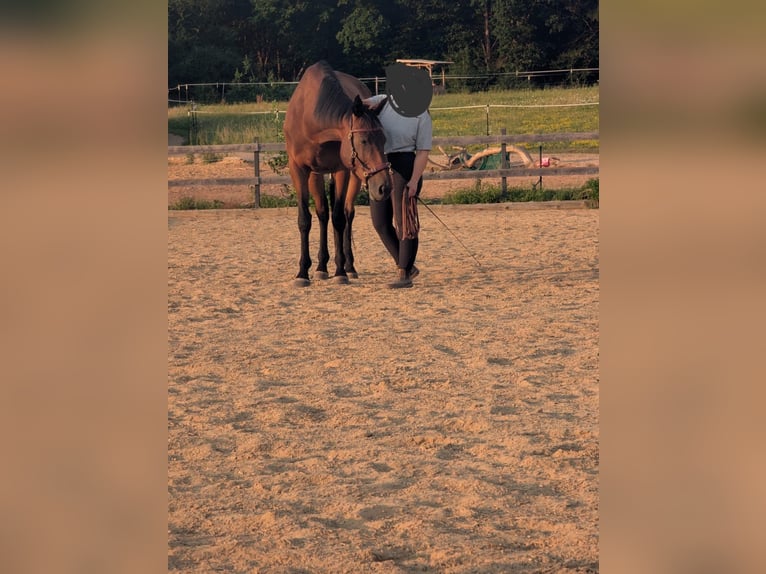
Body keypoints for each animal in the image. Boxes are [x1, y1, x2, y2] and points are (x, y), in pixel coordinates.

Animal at [284, 60, 392, 287]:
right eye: (364, 141)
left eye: (384, 139)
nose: (384, 187)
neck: (311, 118)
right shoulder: (299, 170)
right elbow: (306, 219)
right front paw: (303, 272)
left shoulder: (342, 170)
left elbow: (339, 218)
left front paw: (341, 271)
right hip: (317, 175)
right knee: (323, 213)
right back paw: (322, 267)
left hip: (355, 177)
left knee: (347, 213)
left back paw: (348, 266)